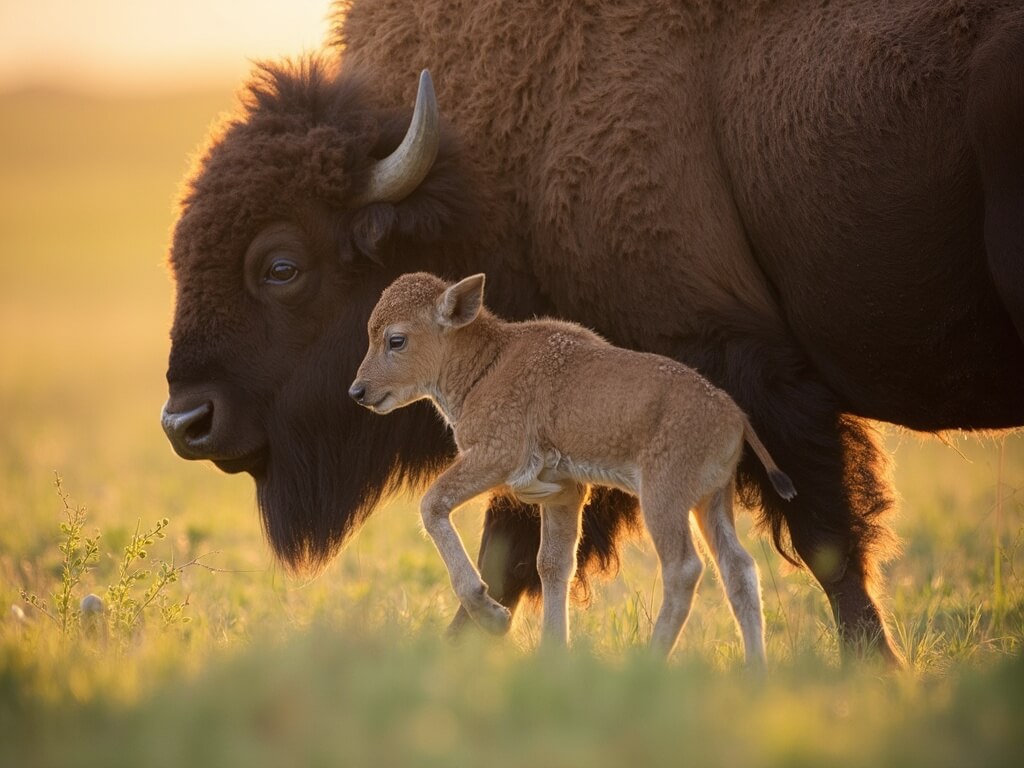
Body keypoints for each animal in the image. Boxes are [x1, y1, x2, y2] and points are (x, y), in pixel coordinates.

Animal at [161, 0, 1024, 664]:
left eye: (281, 265)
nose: (186, 421)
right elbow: (518, 554)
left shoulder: (749, 372)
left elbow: (829, 536)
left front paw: (875, 666)